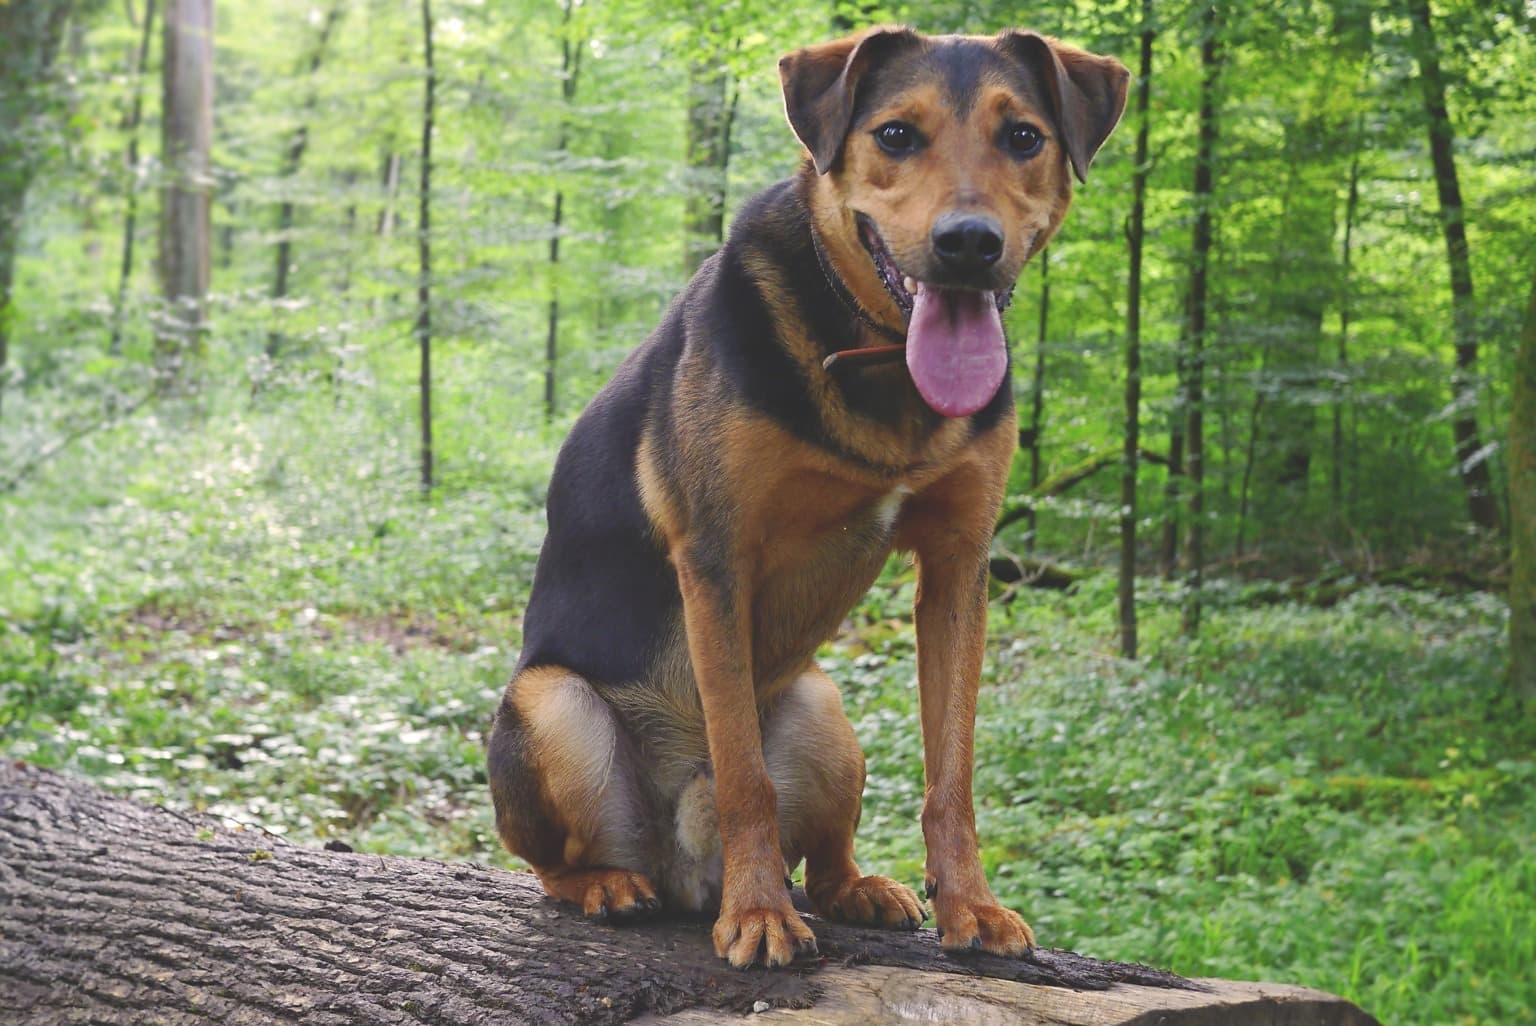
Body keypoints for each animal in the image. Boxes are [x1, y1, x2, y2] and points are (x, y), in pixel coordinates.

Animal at [488, 26, 1130, 970]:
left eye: (1024, 138)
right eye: (896, 135)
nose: (968, 243)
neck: (879, 355)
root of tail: (686, 867)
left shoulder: (958, 564)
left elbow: (953, 773)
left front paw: (970, 904)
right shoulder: (717, 559)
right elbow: (744, 774)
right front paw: (758, 915)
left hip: (825, 709)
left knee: (824, 860)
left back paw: (859, 888)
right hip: (550, 706)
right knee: (552, 861)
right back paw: (612, 884)